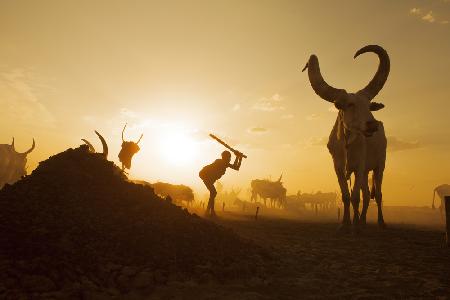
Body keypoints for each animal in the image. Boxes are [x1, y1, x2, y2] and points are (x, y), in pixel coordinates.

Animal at [302, 44, 390, 230]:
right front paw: (345, 223)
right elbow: (346, 196)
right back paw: (362, 220)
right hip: (365, 173)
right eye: (350, 104)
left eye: (369, 106)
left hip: (379, 166)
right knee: (366, 195)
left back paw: (380, 222)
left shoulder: (359, 166)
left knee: (377, 194)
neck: (346, 145)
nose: (372, 125)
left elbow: (356, 197)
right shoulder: (338, 168)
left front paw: (354, 226)